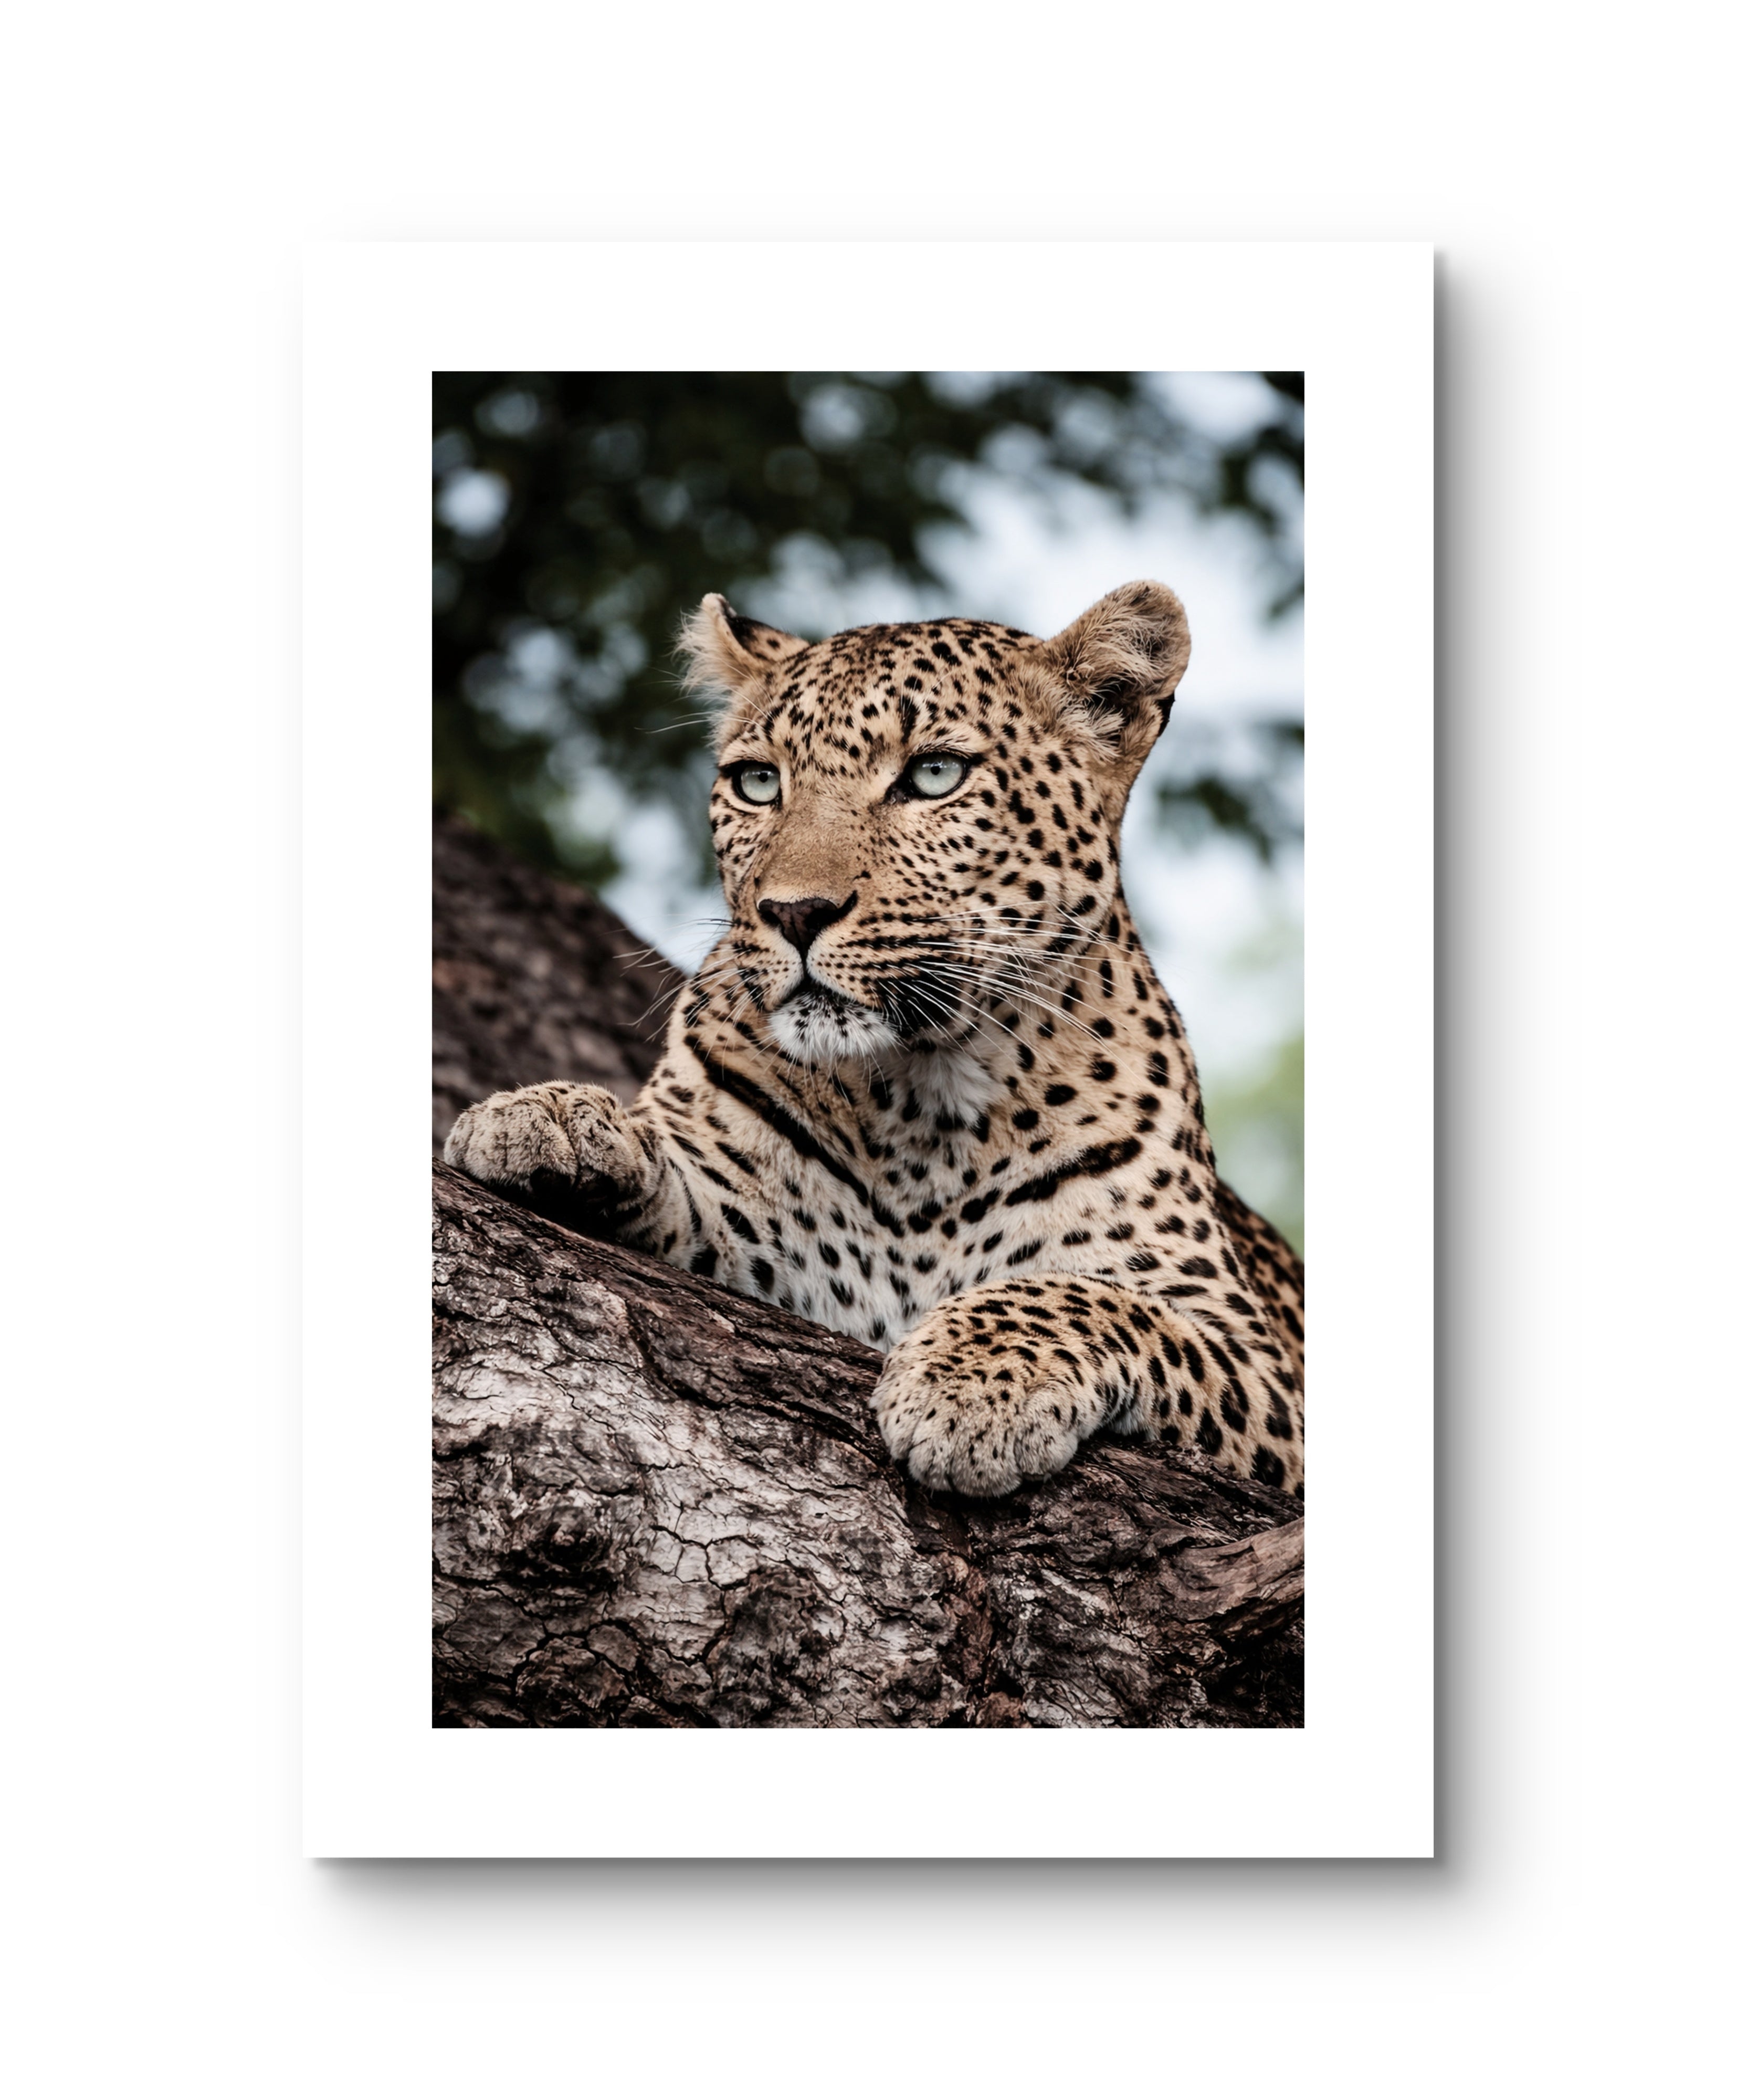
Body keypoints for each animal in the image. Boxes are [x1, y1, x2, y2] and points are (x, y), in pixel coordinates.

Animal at [444, 581, 1304, 1499]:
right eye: (758, 782)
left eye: (934, 774)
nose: (793, 912)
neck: (923, 1102)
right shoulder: (756, 1234)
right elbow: (681, 1173)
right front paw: (554, 1121)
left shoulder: (1254, 1355)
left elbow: (1089, 1297)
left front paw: (972, 1383)